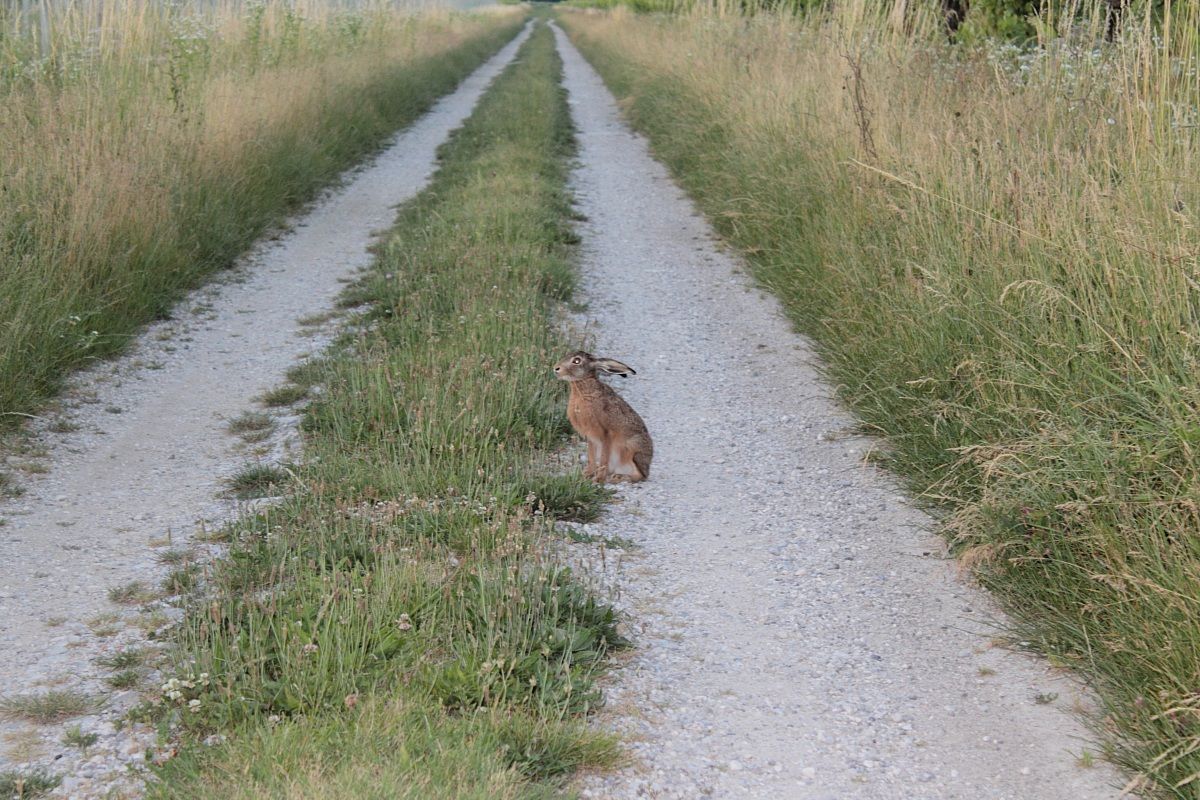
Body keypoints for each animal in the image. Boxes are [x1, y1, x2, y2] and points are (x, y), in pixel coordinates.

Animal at [553, 350, 653, 483]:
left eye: (577, 361)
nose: (556, 368)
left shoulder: (606, 433)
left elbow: (604, 457)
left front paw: (598, 479)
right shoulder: (590, 437)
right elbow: (591, 456)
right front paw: (587, 475)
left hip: (633, 449)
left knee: (641, 475)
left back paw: (618, 477)